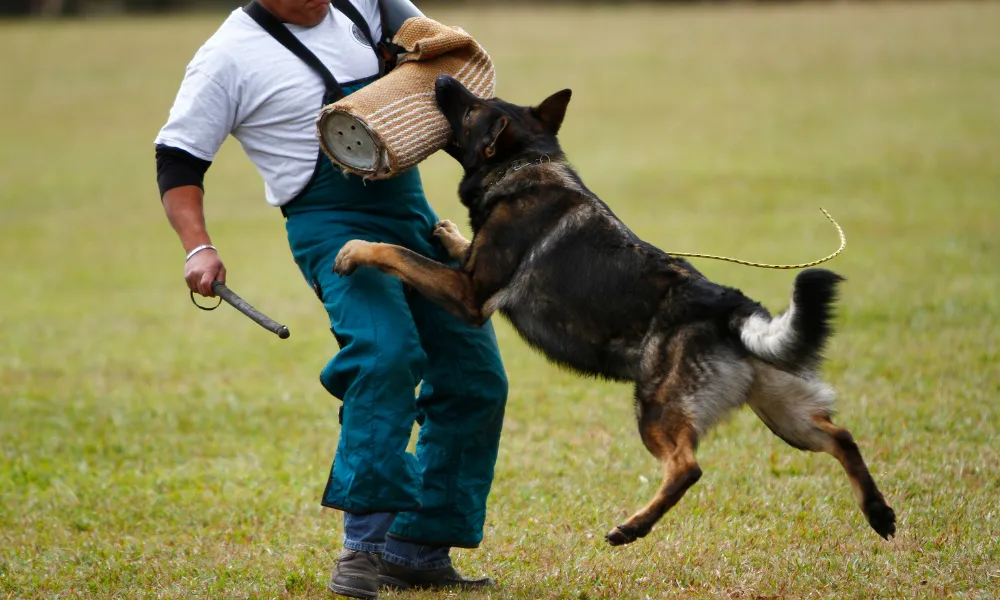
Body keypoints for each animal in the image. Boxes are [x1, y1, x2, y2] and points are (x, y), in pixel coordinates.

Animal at [330, 74, 900, 544]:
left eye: (471, 109)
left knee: (687, 467)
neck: (528, 163)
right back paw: (878, 513)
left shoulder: (468, 295)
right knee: (841, 436)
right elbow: (451, 245)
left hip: (657, 407)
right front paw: (447, 231)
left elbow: (396, 253)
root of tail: (730, 305)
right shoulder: (468, 274)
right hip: (784, 417)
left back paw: (632, 527)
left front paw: (356, 250)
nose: (443, 78)